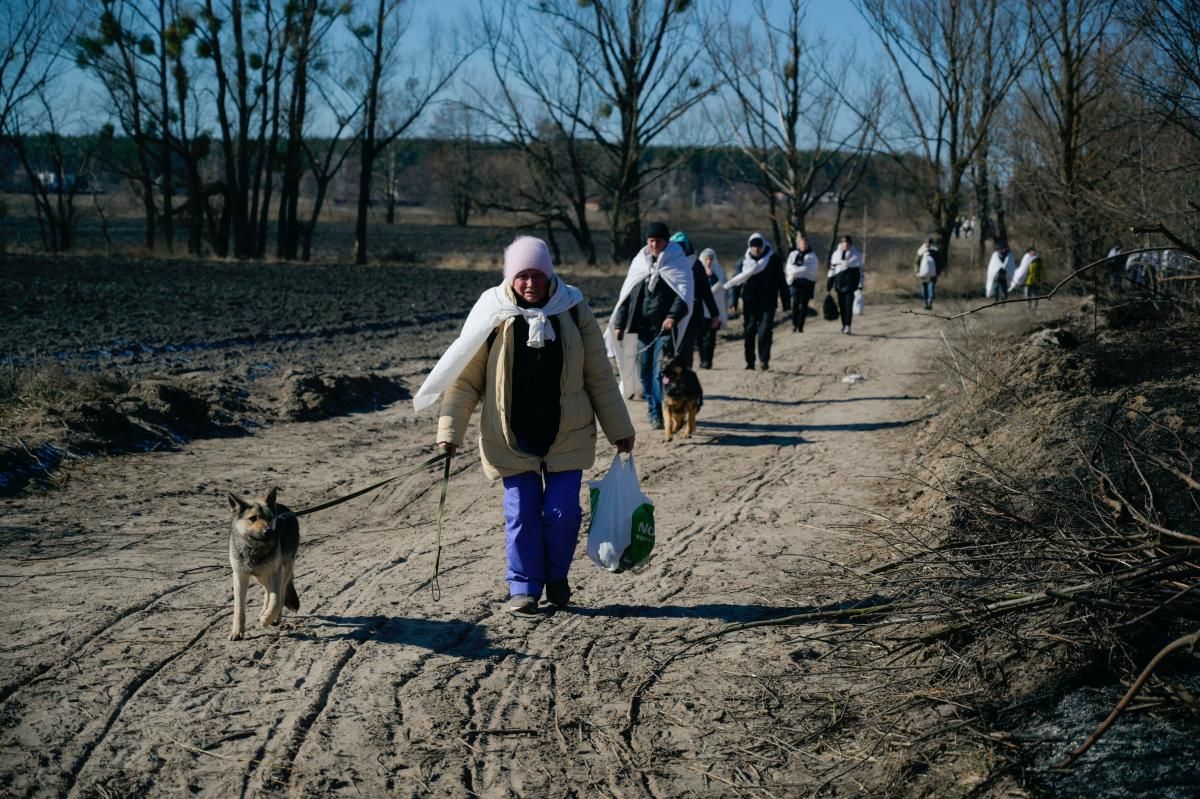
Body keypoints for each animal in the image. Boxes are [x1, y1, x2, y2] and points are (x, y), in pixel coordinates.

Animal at [226, 482, 300, 638]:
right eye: (253, 518)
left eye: (270, 518)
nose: (269, 532)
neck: (254, 549)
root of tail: (286, 509)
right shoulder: (240, 575)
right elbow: (239, 607)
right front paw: (237, 631)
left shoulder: (276, 572)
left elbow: (276, 599)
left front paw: (267, 619)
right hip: (262, 575)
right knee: (267, 590)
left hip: (283, 571)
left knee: (279, 593)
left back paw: (274, 618)